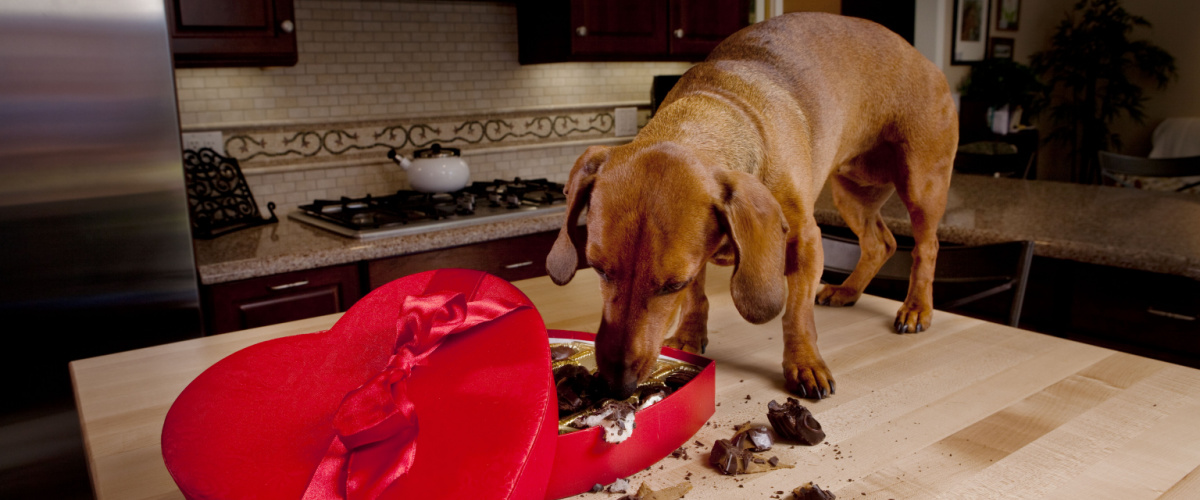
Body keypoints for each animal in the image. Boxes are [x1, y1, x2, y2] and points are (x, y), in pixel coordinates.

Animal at [547, 13, 955, 400]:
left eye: (672, 285)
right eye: (599, 269)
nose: (617, 386)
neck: (718, 108)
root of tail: (924, 60)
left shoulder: (806, 241)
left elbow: (796, 314)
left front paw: (805, 363)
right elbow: (697, 299)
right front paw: (689, 335)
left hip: (922, 185)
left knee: (926, 246)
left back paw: (916, 308)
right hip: (852, 192)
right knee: (880, 243)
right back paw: (848, 290)